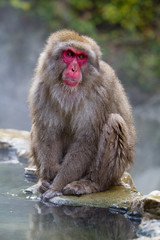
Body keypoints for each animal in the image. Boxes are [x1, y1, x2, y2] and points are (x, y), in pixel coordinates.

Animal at [28, 29, 136, 200]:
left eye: (80, 57)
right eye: (69, 54)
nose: (74, 69)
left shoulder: (100, 93)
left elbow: (87, 140)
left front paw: (57, 185)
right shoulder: (41, 88)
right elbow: (48, 133)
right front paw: (49, 175)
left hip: (116, 171)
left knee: (114, 122)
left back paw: (92, 183)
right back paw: (42, 181)